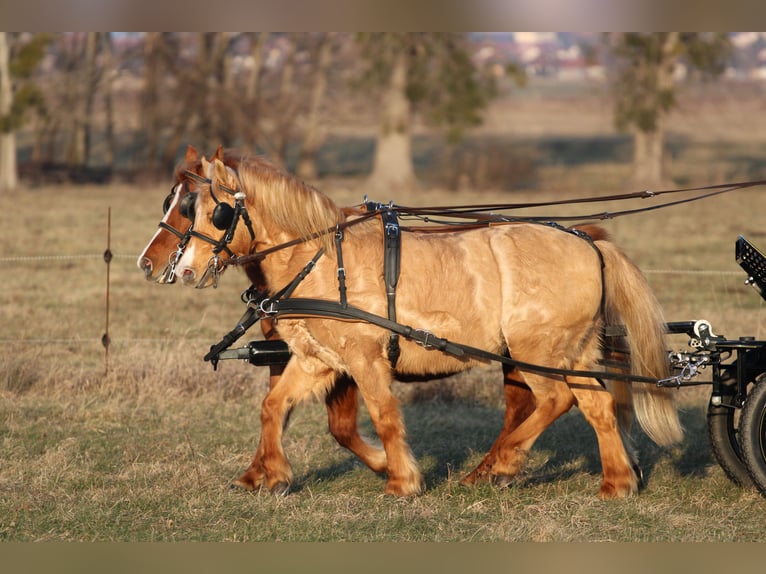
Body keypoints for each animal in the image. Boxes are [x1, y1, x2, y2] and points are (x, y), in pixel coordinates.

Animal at [176, 154, 684, 500]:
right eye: (187, 208)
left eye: (217, 212)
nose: (183, 270)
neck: (320, 258)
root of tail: (588, 243)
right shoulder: (318, 359)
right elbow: (273, 406)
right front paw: (274, 475)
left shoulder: (365, 360)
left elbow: (384, 415)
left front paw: (401, 479)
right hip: (571, 351)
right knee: (597, 405)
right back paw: (616, 481)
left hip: (535, 351)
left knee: (557, 399)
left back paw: (501, 465)